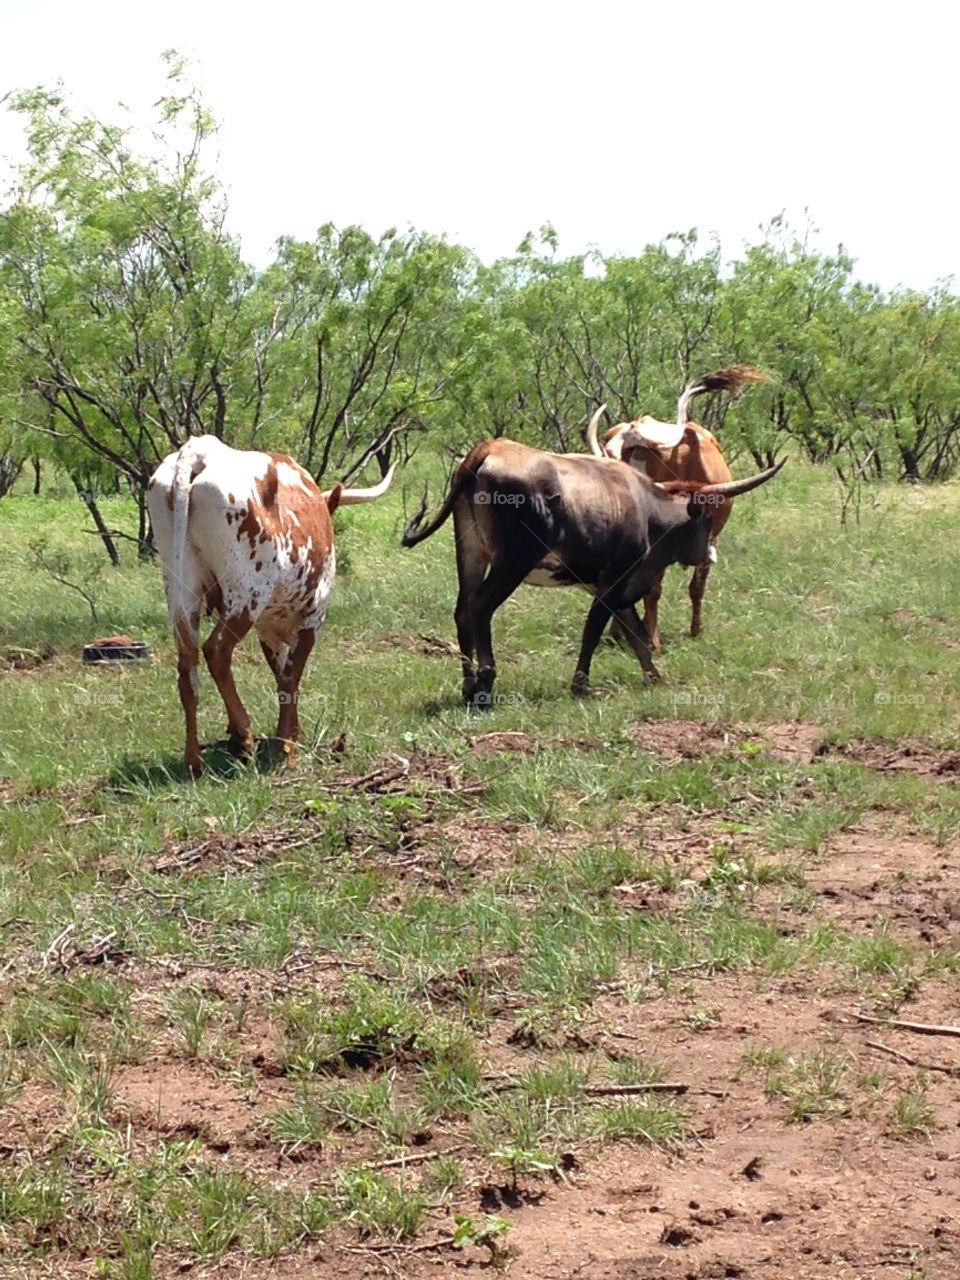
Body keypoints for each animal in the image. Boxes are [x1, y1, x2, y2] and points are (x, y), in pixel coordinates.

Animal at [147, 435, 394, 773]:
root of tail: (200, 450)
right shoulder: (313, 618)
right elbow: (291, 678)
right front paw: (287, 749)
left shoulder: (268, 629)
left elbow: (281, 674)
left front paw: (292, 733)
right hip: (246, 593)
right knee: (217, 650)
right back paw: (243, 736)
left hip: (181, 589)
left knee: (187, 666)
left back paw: (194, 759)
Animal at [399, 437, 783, 701]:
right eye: (706, 520)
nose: (708, 554)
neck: (648, 510)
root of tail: (490, 448)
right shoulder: (614, 579)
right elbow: (594, 629)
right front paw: (581, 684)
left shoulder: (616, 586)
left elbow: (635, 632)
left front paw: (654, 677)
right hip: (512, 563)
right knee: (480, 607)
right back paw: (485, 683)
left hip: (471, 553)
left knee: (463, 609)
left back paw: (467, 685)